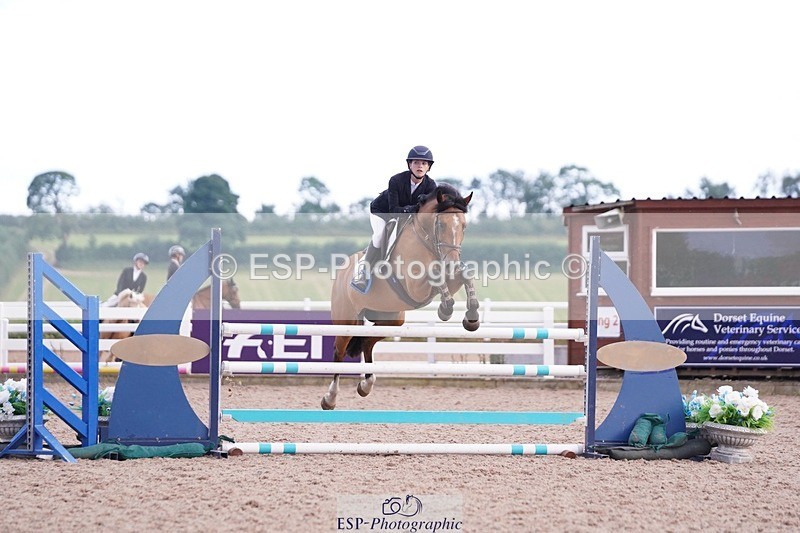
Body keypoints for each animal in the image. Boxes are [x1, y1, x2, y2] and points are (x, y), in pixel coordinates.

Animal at [323, 184, 480, 410]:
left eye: (464, 226)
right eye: (441, 225)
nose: (452, 261)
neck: (425, 240)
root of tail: (342, 270)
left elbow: (464, 274)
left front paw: (471, 318)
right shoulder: (415, 286)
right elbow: (435, 275)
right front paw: (446, 308)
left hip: (391, 320)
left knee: (367, 343)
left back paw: (366, 385)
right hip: (347, 320)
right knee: (339, 351)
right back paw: (330, 398)